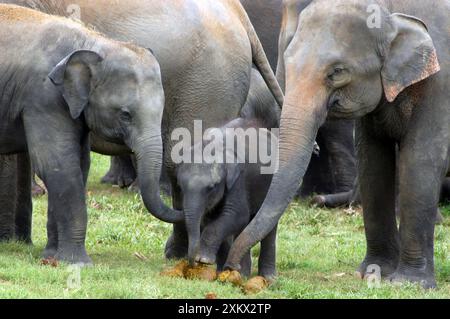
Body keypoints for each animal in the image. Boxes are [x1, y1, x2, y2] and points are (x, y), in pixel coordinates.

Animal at [229, 0, 450, 290]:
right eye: (288, 61)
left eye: (337, 72)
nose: (232, 268)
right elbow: (372, 164)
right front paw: (371, 273)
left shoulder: (439, 84)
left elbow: (420, 161)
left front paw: (407, 283)